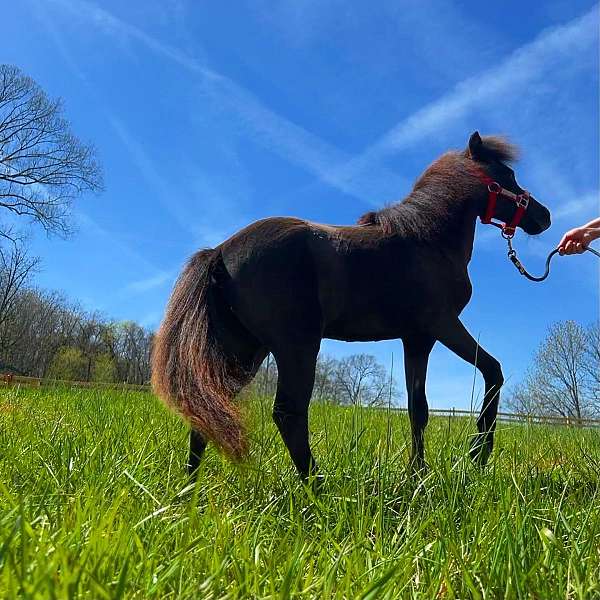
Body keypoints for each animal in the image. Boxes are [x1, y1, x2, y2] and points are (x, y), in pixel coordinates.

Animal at [152, 132, 552, 478]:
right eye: (506, 175)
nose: (543, 216)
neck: (428, 241)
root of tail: (219, 251)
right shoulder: (443, 325)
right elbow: (493, 371)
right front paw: (479, 450)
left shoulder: (416, 339)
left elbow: (418, 409)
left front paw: (418, 475)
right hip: (296, 346)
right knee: (288, 413)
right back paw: (317, 488)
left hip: (245, 349)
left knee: (209, 405)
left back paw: (189, 490)